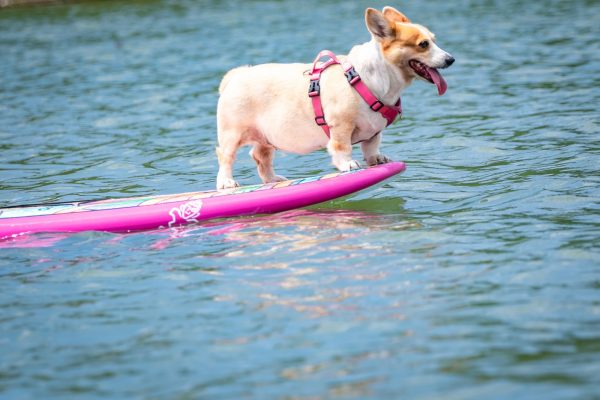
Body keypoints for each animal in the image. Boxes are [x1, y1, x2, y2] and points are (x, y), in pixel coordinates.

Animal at [213, 5, 452, 189]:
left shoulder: (374, 132)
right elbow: (342, 148)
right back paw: (226, 182)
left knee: (260, 156)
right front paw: (348, 164)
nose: (451, 59)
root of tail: (235, 75)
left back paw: (273, 180)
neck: (373, 78)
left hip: (267, 138)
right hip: (232, 135)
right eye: (423, 44)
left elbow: (371, 147)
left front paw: (376, 160)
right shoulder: (340, 126)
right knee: (226, 157)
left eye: (434, 40)